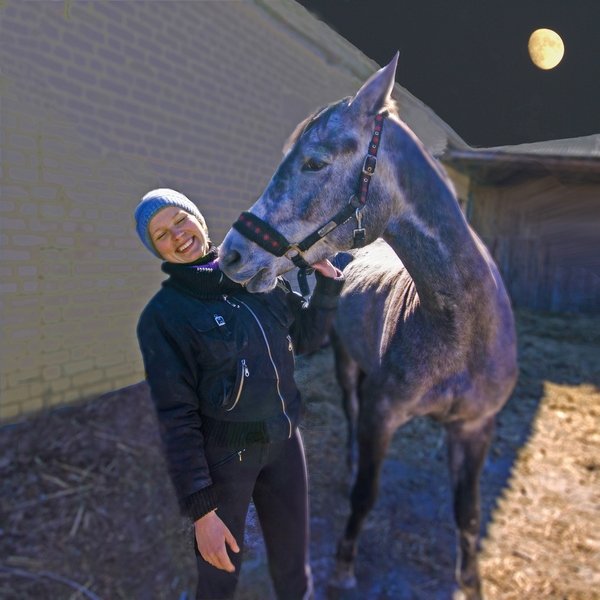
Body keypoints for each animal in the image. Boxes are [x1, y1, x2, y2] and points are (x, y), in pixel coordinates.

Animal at [218, 52, 516, 600]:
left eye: (315, 162)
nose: (232, 254)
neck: (461, 329)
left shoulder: (475, 428)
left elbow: (467, 514)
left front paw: (470, 582)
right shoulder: (382, 415)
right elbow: (365, 493)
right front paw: (343, 567)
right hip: (345, 364)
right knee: (351, 411)